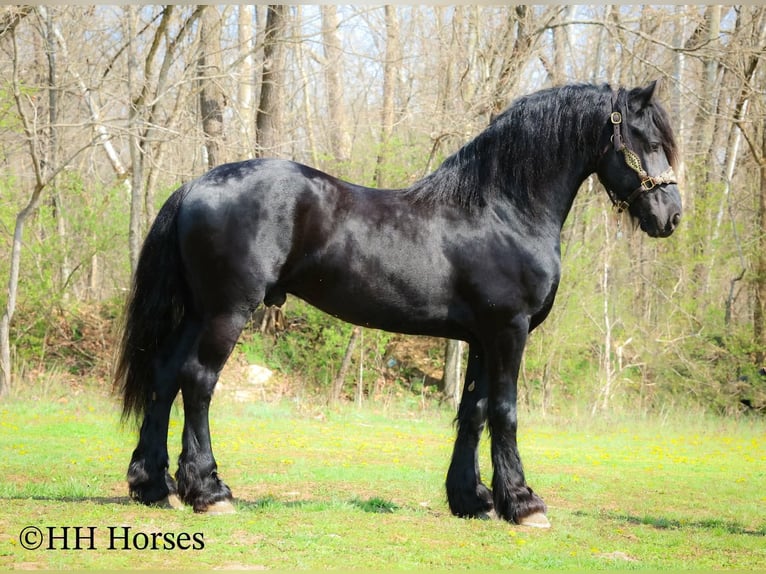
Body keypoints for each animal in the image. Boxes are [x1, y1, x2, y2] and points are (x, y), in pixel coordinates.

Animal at [115, 81, 681, 527]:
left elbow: (473, 411)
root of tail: (195, 185)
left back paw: (153, 486)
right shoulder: (509, 330)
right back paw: (209, 491)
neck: (502, 210)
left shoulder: (480, 337)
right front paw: (523, 504)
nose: (671, 216)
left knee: (165, 377)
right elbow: (505, 410)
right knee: (198, 382)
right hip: (226, 312)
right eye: (649, 141)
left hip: (197, 313)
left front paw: (472, 499)